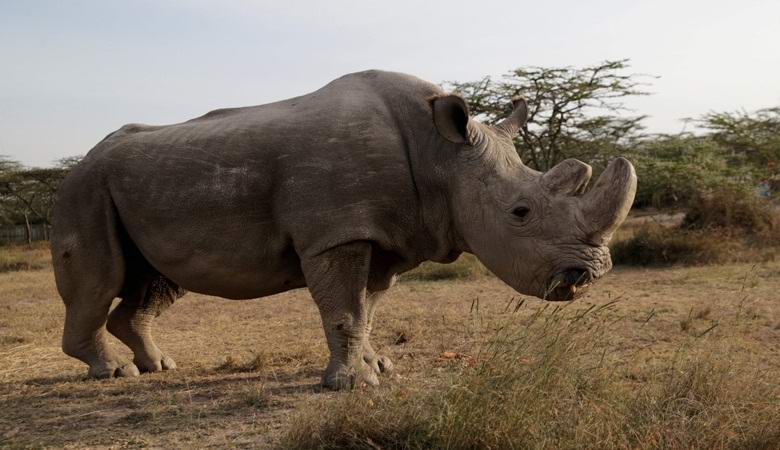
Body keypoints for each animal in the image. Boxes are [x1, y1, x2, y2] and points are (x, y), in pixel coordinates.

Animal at [50, 70, 632, 390]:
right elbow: (345, 311)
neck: (441, 155)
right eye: (520, 212)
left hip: (137, 188)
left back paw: (158, 367)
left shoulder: (385, 236)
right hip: (84, 189)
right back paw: (114, 373)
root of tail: (81, 160)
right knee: (101, 278)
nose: (589, 275)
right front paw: (352, 386)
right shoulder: (337, 233)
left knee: (155, 282)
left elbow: (366, 310)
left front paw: (381, 367)